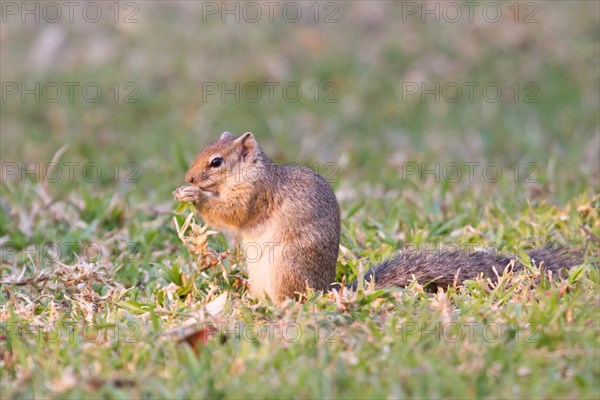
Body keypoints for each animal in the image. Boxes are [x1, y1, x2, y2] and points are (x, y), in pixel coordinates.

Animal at [175, 131, 580, 304]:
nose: (189, 178)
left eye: (216, 161)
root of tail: (325, 289)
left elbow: (232, 213)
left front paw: (195, 198)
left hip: (287, 267)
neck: (248, 172)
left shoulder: (256, 194)